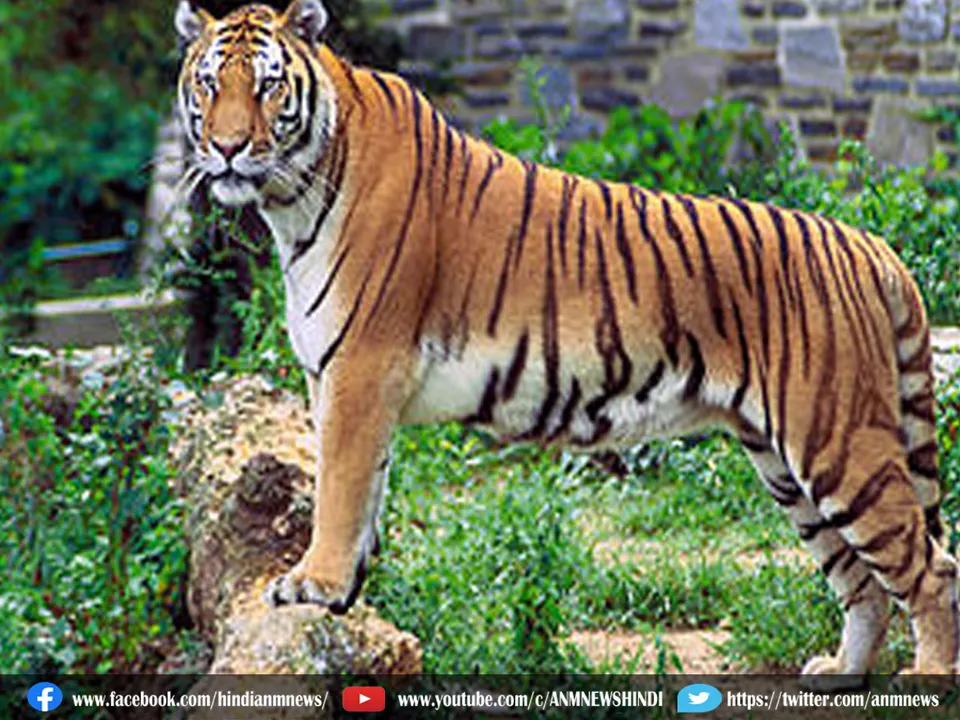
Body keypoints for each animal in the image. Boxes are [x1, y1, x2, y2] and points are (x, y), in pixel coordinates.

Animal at [175, 0, 958, 683]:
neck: (293, 199)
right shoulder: (341, 379)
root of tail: (870, 246)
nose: (227, 148)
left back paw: (927, 679)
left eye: (268, 84)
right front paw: (344, 594)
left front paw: (312, 584)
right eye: (209, 83)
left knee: (931, 568)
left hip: (837, 439)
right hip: (783, 460)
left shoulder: (361, 370)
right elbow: (365, 491)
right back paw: (841, 673)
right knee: (862, 581)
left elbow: (338, 489)